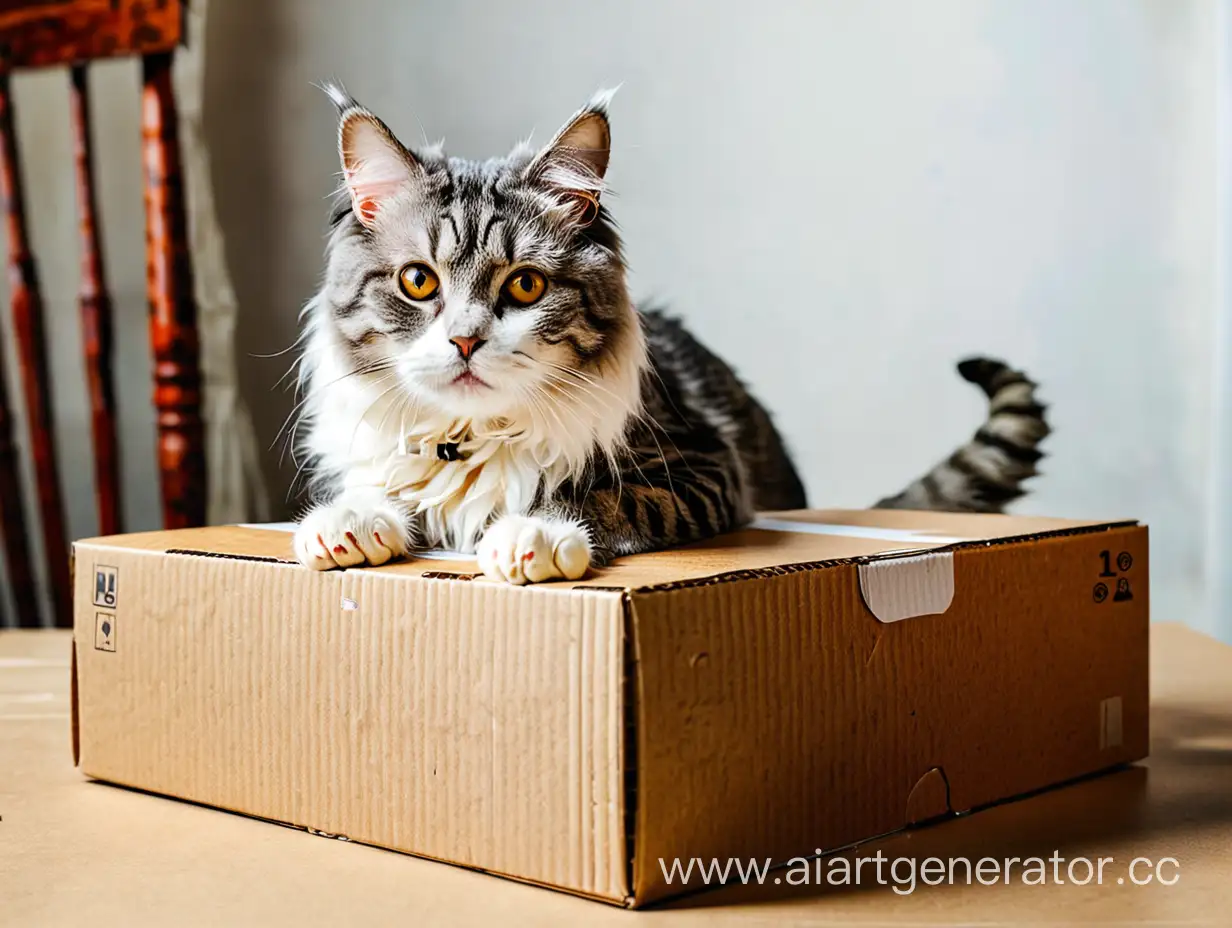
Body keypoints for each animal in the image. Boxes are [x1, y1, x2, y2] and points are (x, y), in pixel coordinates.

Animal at [290, 85, 1049, 579]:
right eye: (419, 282)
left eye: (525, 286)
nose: (467, 341)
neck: (475, 437)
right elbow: (385, 485)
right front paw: (347, 522)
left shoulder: (702, 465)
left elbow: (594, 493)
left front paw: (531, 532)